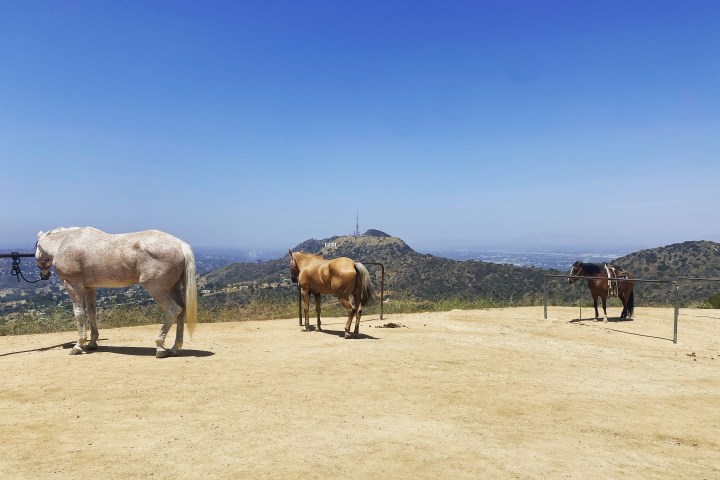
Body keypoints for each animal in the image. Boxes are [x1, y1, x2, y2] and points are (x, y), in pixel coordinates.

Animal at [35, 227, 197, 358]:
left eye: (36, 246)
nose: (44, 275)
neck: (64, 243)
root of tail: (180, 244)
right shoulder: (89, 287)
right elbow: (91, 313)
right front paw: (92, 342)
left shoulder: (73, 285)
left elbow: (79, 313)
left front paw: (78, 345)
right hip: (173, 287)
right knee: (182, 311)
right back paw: (175, 348)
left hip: (157, 289)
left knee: (173, 309)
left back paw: (160, 347)